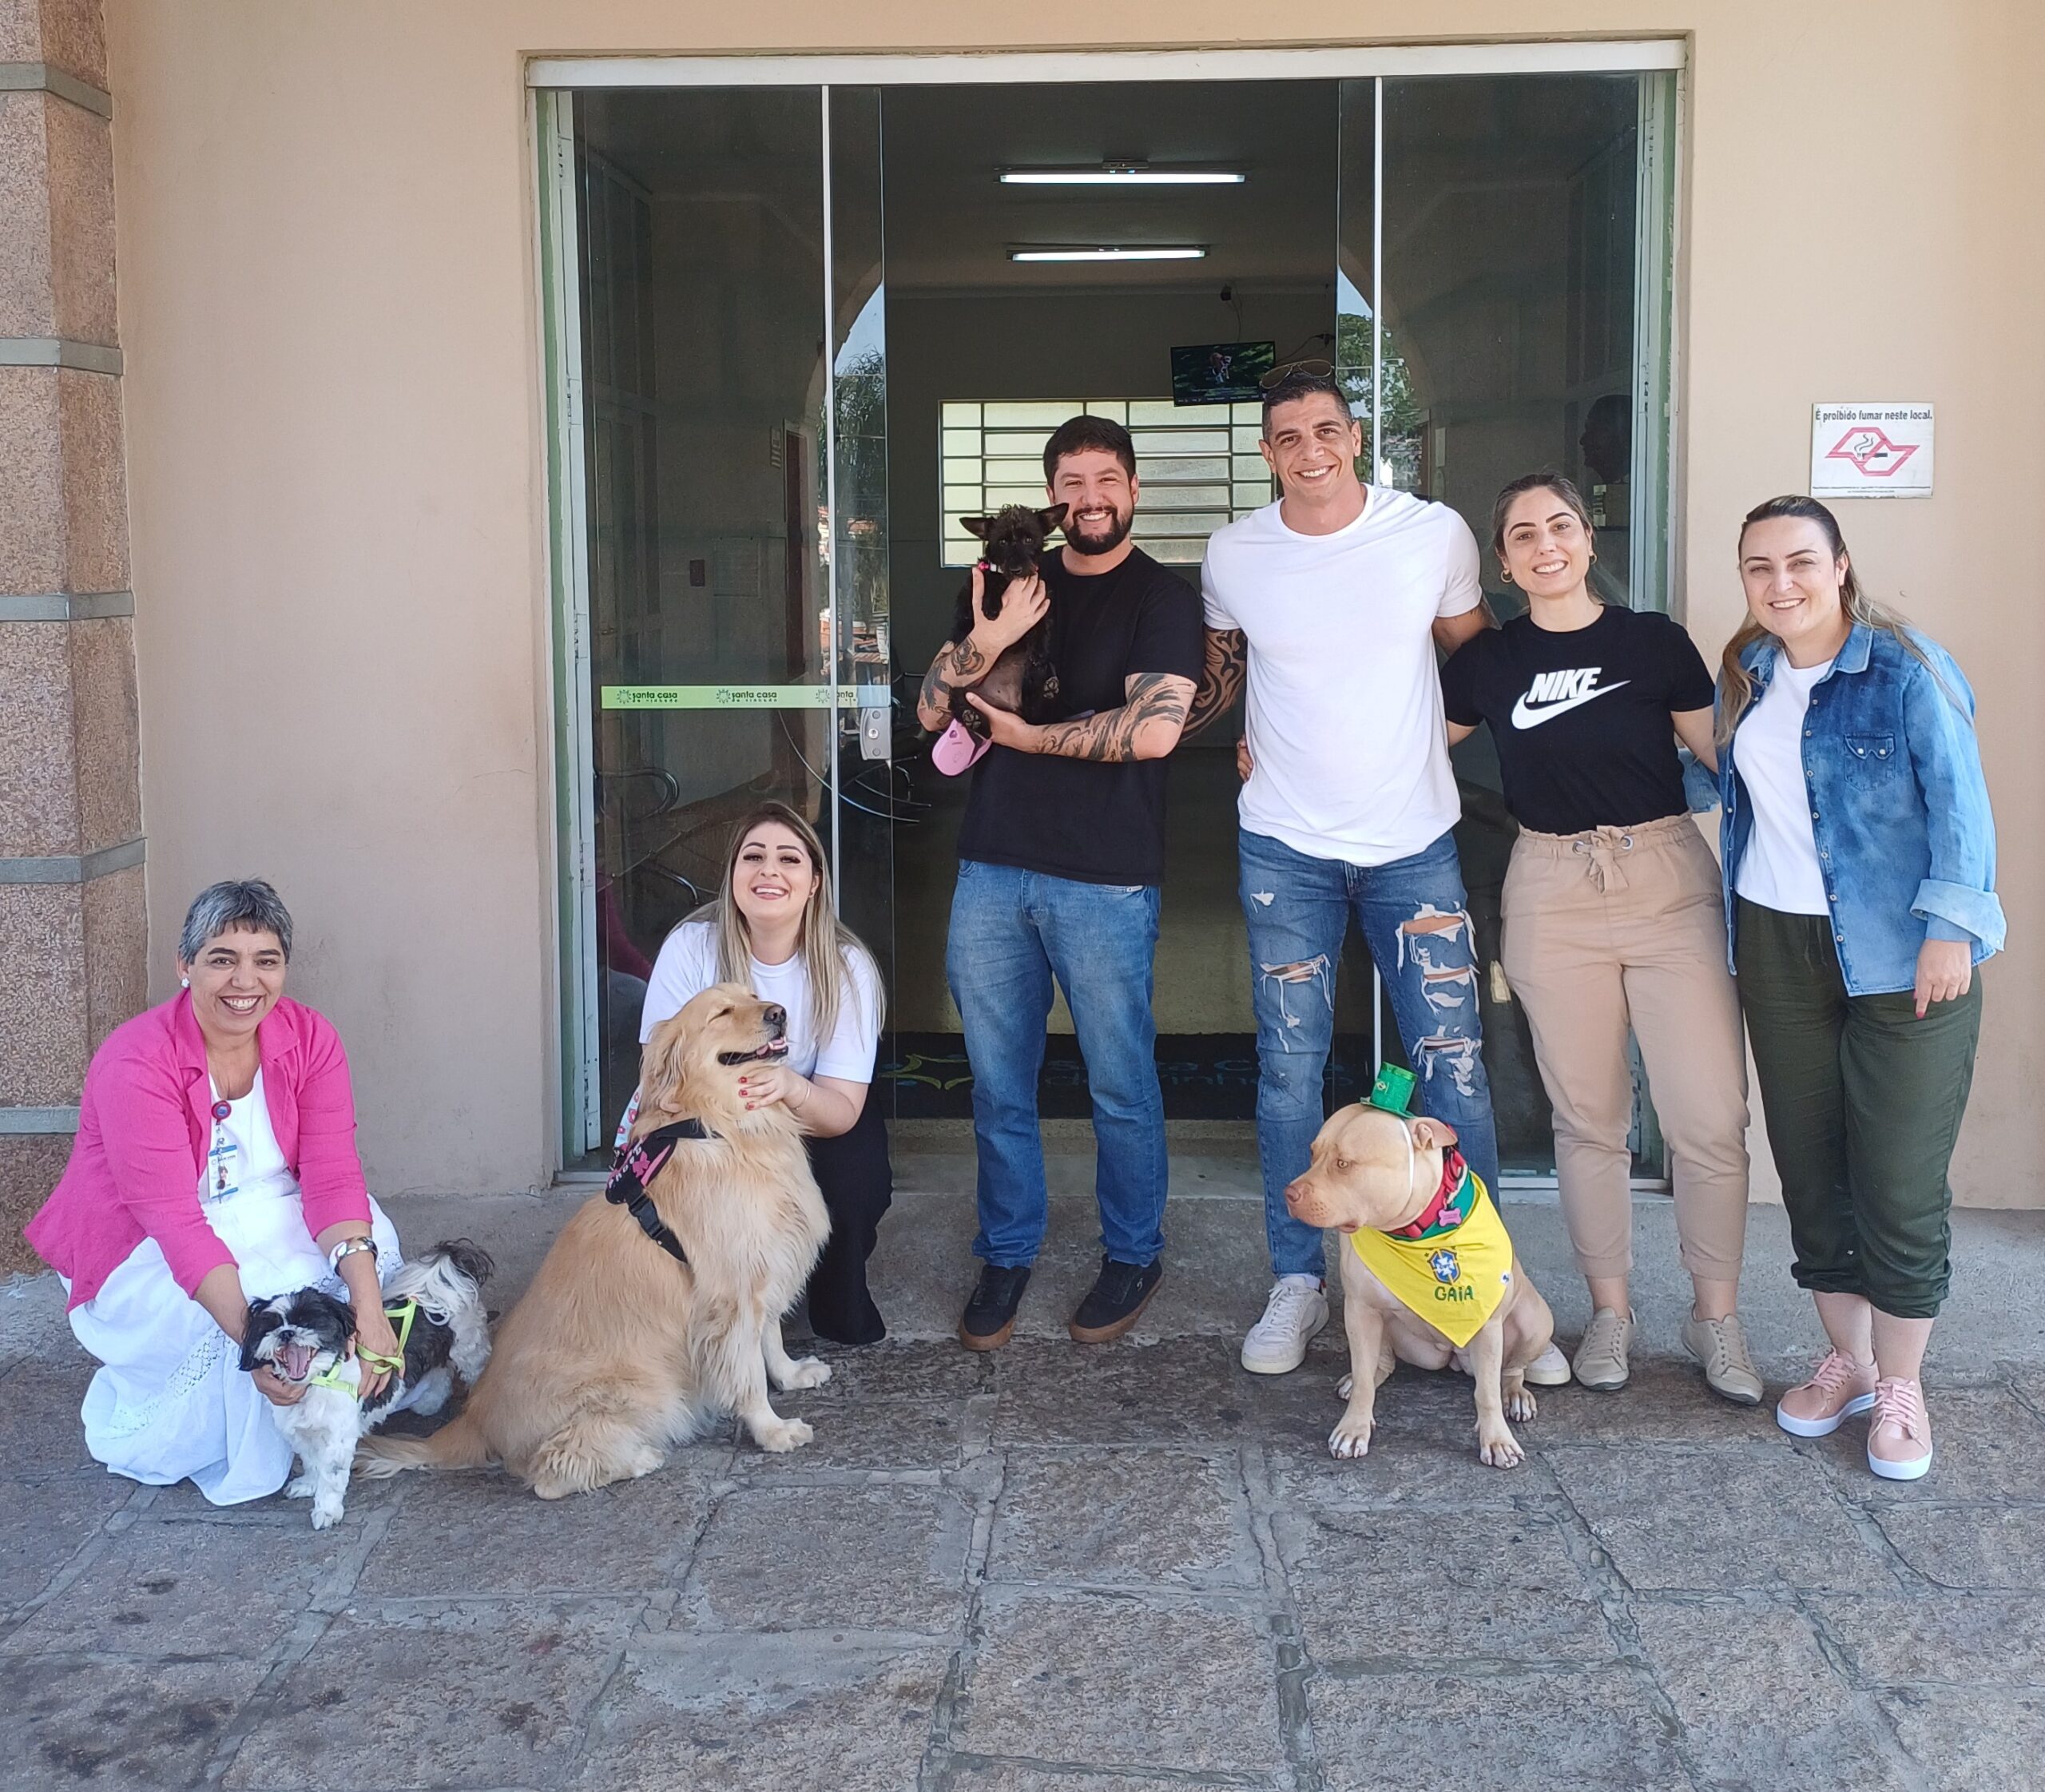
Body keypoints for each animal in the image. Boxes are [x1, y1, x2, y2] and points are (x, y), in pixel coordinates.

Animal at [236, 1243, 492, 1522]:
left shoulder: (337, 1438)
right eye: (270, 1326)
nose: (286, 1333)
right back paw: (430, 1402)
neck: (319, 1381)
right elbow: (312, 1462)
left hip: (468, 1350)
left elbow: (331, 1476)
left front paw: (326, 1511)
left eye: (307, 1321)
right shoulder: (303, 1434)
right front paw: (309, 1484)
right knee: (441, 1371)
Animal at [359, 986, 830, 1489]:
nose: (778, 1013)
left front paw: (792, 1375)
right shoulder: (730, 1297)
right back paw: (637, 1459)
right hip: (646, 1392)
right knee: (548, 1471)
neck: (722, 1127)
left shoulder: (766, 1269)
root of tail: (474, 1419)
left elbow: (771, 1340)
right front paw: (773, 1430)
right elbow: (748, 1373)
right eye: (722, 1012)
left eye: (754, 995)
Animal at [936, 501, 1071, 765]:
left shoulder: (1042, 599)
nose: (1017, 569)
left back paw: (1048, 690)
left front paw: (1039, 650)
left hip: (1032, 681)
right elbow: (990, 581)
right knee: (960, 703)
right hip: (959, 687)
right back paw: (973, 718)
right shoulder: (970, 600)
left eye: (1029, 539)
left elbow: (1043, 625)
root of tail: (1006, 704)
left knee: (1034, 715)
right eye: (1002, 542)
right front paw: (991, 605)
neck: (1012, 582)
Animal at [1284, 1104, 1554, 1472]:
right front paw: (1353, 1428)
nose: (1289, 1194)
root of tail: (1453, 1358)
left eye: (1343, 1164)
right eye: (1312, 1153)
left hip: (1535, 1322)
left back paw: (1515, 1395)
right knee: (1379, 1365)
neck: (1412, 1232)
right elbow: (1366, 1381)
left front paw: (1497, 1440)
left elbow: (1485, 1393)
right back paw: (1358, 1378)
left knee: (1511, 1370)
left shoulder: (1486, 1323)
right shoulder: (1361, 1309)